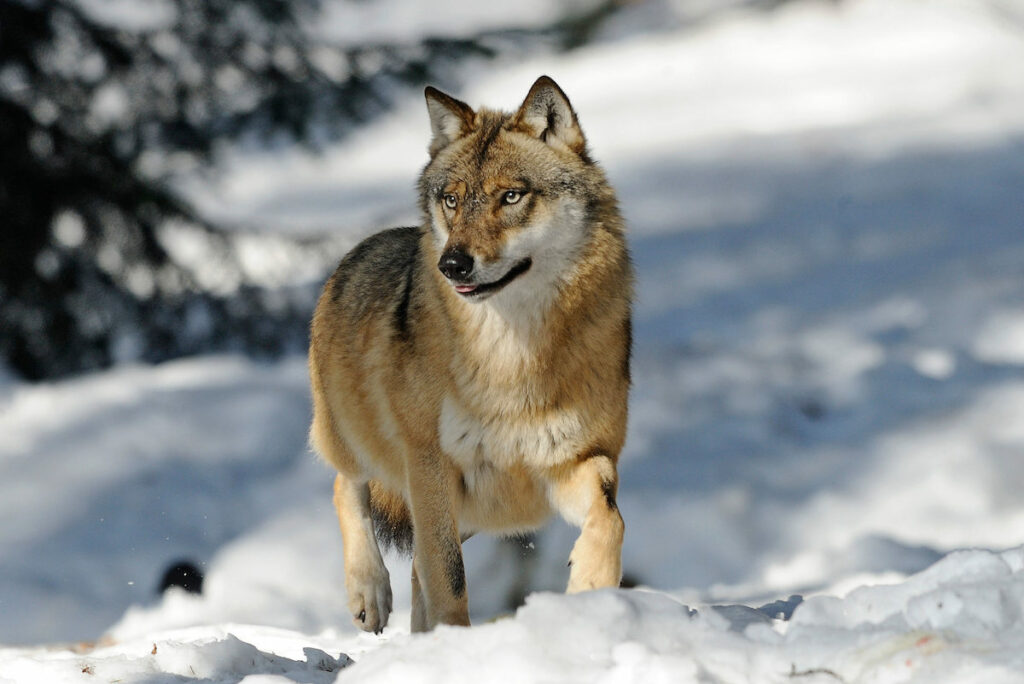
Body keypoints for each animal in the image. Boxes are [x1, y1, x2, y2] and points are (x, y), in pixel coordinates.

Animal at [307, 73, 630, 630]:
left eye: (511, 196)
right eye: (453, 200)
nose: (453, 264)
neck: (512, 359)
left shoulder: (576, 459)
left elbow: (610, 516)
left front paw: (591, 585)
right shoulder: (431, 466)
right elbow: (450, 579)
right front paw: (453, 640)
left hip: (476, 512)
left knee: (416, 565)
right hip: (363, 449)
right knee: (346, 487)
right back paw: (369, 591)